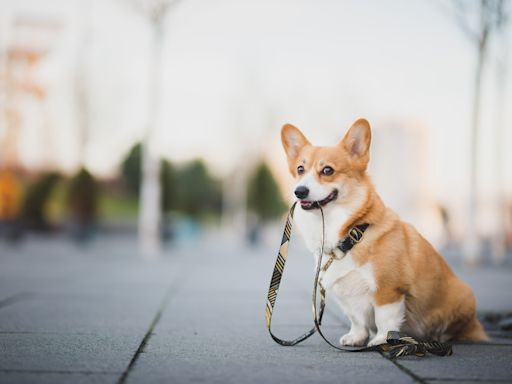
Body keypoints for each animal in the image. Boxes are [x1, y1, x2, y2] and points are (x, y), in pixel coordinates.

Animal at [282, 118, 486, 346]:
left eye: (327, 170)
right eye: (300, 169)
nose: (299, 191)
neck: (351, 234)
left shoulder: (388, 291)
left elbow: (384, 319)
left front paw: (382, 340)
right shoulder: (346, 295)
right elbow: (357, 319)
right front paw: (356, 338)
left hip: (464, 295)